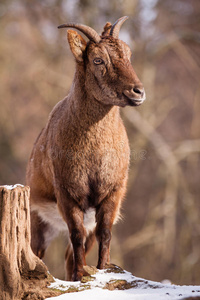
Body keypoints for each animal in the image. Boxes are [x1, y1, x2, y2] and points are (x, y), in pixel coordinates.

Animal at [26, 16, 145, 282]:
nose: (138, 91)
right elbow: (76, 234)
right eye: (98, 59)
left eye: (129, 53)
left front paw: (103, 269)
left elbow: (106, 233)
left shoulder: (112, 192)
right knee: (37, 252)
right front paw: (82, 275)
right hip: (38, 218)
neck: (94, 154)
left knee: (69, 254)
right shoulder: (68, 193)